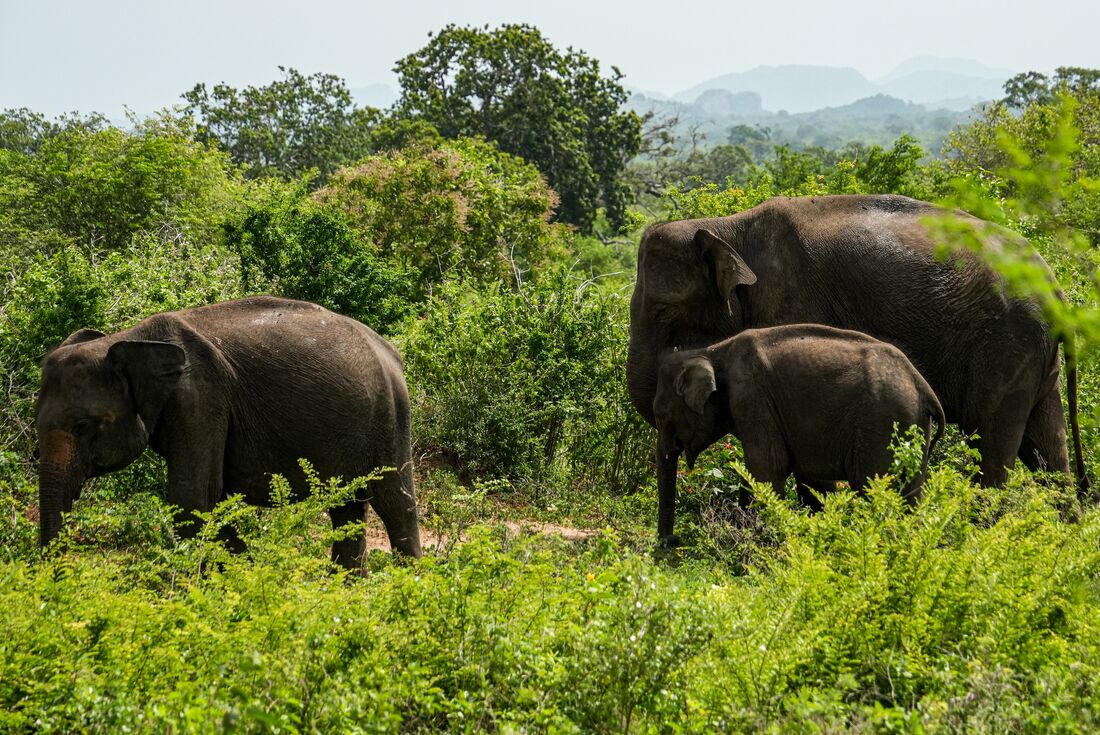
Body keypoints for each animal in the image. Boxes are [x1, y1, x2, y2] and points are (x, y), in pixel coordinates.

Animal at [35, 295, 422, 567]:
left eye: (83, 426)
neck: (129, 338)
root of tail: (391, 352)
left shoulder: (200, 397)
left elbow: (193, 498)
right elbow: (213, 499)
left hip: (390, 415)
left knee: (395, 502)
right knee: (346, 506)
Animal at [655, 325, 945, 510]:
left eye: (660, 413)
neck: (711, 350)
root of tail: (923, 387)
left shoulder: (751, 395)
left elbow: (766, 467)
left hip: (883, 424)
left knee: (873, 487)